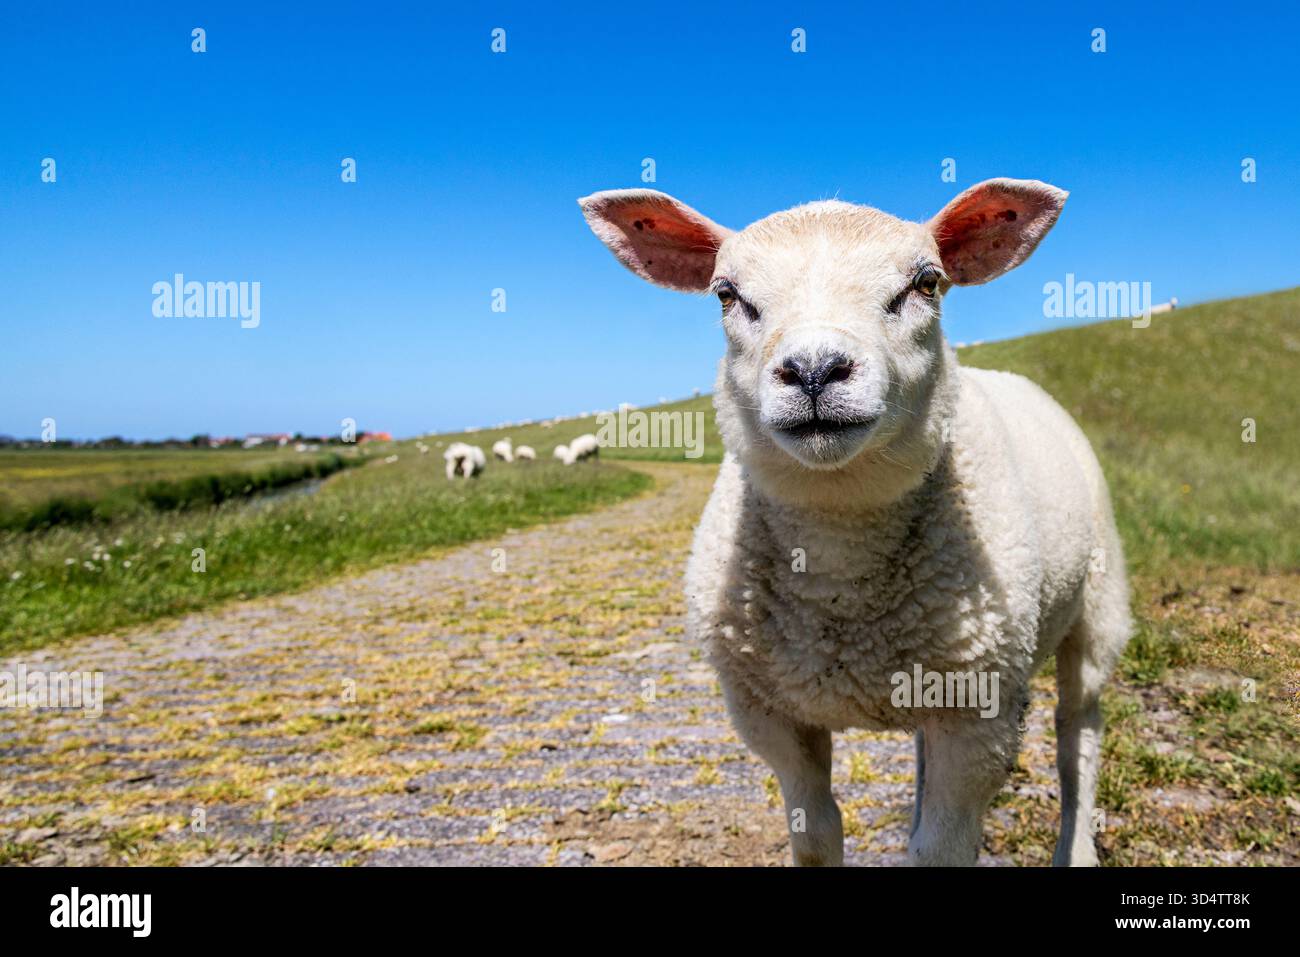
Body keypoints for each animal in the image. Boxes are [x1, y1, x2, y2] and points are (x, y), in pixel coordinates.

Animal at [579, 180, 1131, 868]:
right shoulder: (767, 713)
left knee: (1077, 738)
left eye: (926, 282)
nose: (815, 370)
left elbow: (940, 850)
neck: (839, 552)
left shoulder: (982, 714)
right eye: (727, 294)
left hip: (1097, 611)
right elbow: (816, 834)